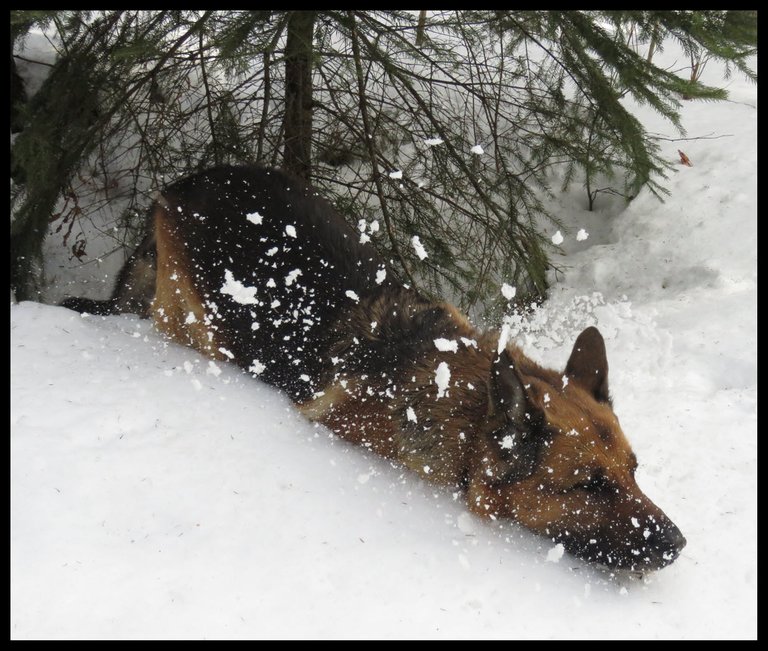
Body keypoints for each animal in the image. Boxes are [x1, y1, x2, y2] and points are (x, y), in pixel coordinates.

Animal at [64, 164, 684, 572]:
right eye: (589, 486)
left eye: (634, 471)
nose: (679, 544)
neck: (466, 417)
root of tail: (185, 180)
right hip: (193, 322)